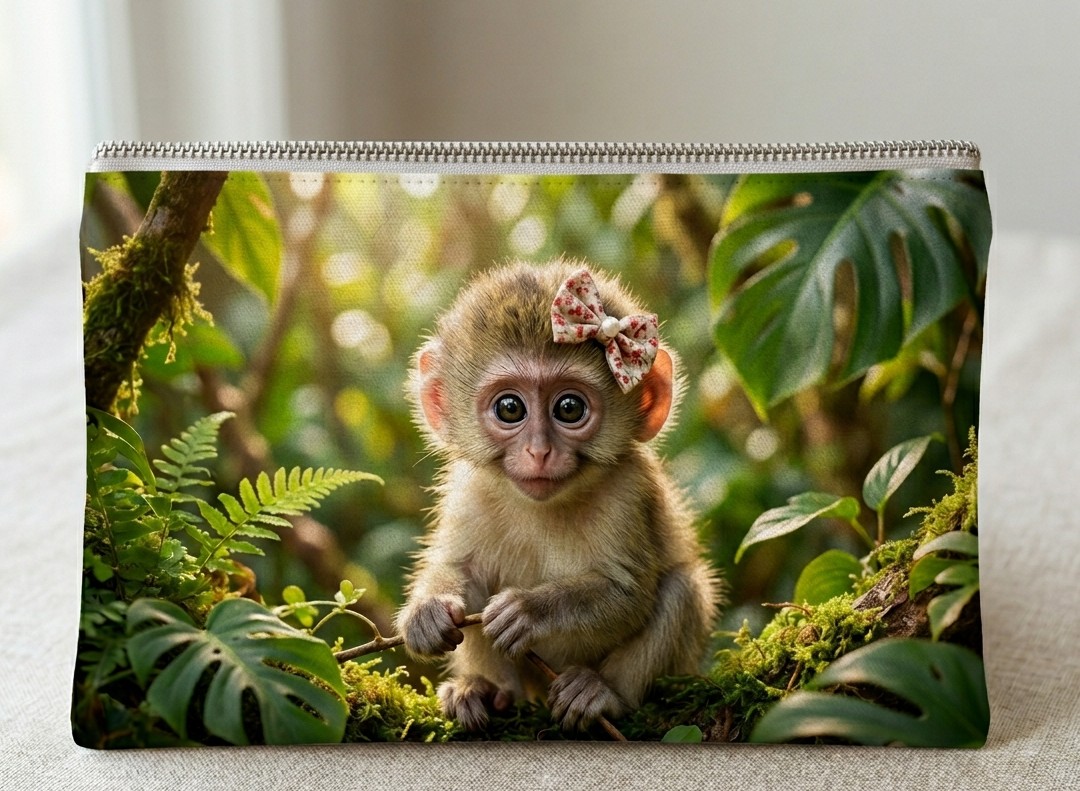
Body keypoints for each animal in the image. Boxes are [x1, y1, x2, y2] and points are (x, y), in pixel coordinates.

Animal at [395, 259, 720, 732]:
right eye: (510, 408)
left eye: (569, 408)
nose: (539, 451)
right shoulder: (467, 490)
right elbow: (461, 570)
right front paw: (428, 612)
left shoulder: (628, 492)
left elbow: (628, 594)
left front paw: (531, 610)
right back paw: (488, 690)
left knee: (683, 588)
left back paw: (602, 693)